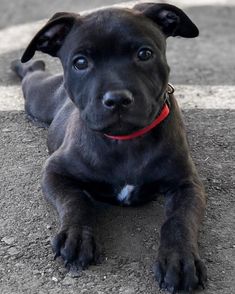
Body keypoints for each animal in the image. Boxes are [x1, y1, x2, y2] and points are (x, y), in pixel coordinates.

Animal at [11, 2, 207, 294]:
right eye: (80, 62)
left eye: (144, 54)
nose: (116, 99)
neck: (125, 142)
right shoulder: (54, 171)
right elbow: (75, 200)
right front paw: (77, 236)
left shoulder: (187, 184)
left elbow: (180, 220)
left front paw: (179, 260)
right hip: (38, 97)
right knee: (31, 73)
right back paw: (21, 64)